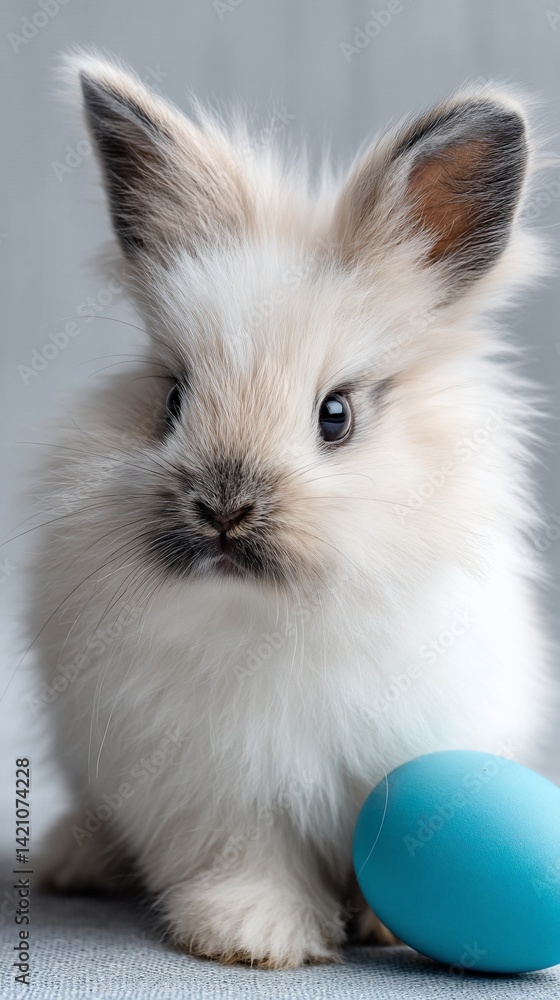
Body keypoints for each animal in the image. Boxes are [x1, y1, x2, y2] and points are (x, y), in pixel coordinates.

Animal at [31, 52, 553, 968]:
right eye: (172, 398)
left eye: (335, 415)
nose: (223, 508)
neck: (269, 617)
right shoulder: (214, 787)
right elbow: (243, 855)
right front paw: (256, 936)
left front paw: (383, 924)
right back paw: (70, 862)